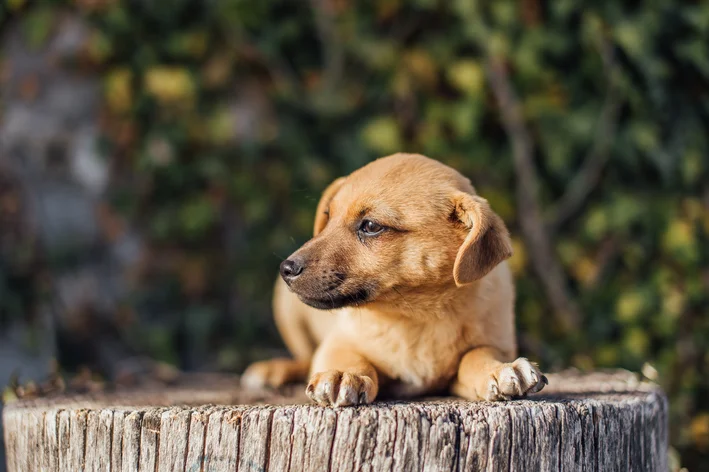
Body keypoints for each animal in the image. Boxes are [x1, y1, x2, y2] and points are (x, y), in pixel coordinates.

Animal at [241, 154, 544, 406]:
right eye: (327, 217)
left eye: (371, 226)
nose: (286, 268)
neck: (416, 316)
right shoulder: (337, 341)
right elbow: (349, 356)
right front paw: (341, 374)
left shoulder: (495, 344)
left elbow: (475, 355)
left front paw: (501, 370)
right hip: (286, 309)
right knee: (304, 357)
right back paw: (273, 369)